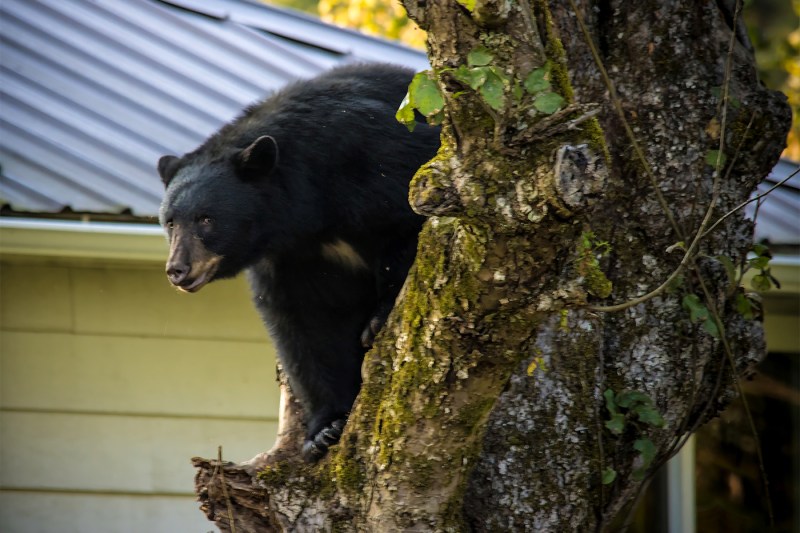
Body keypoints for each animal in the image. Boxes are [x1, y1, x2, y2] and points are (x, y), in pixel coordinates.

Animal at [157, 63, 440, 462]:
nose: (177, 270)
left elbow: (409, 225)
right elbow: (305, 325)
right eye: (170, 221)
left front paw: (379, 319)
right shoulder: (290, 257)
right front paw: (325, 429)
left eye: (206, 219)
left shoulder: (378, 159)